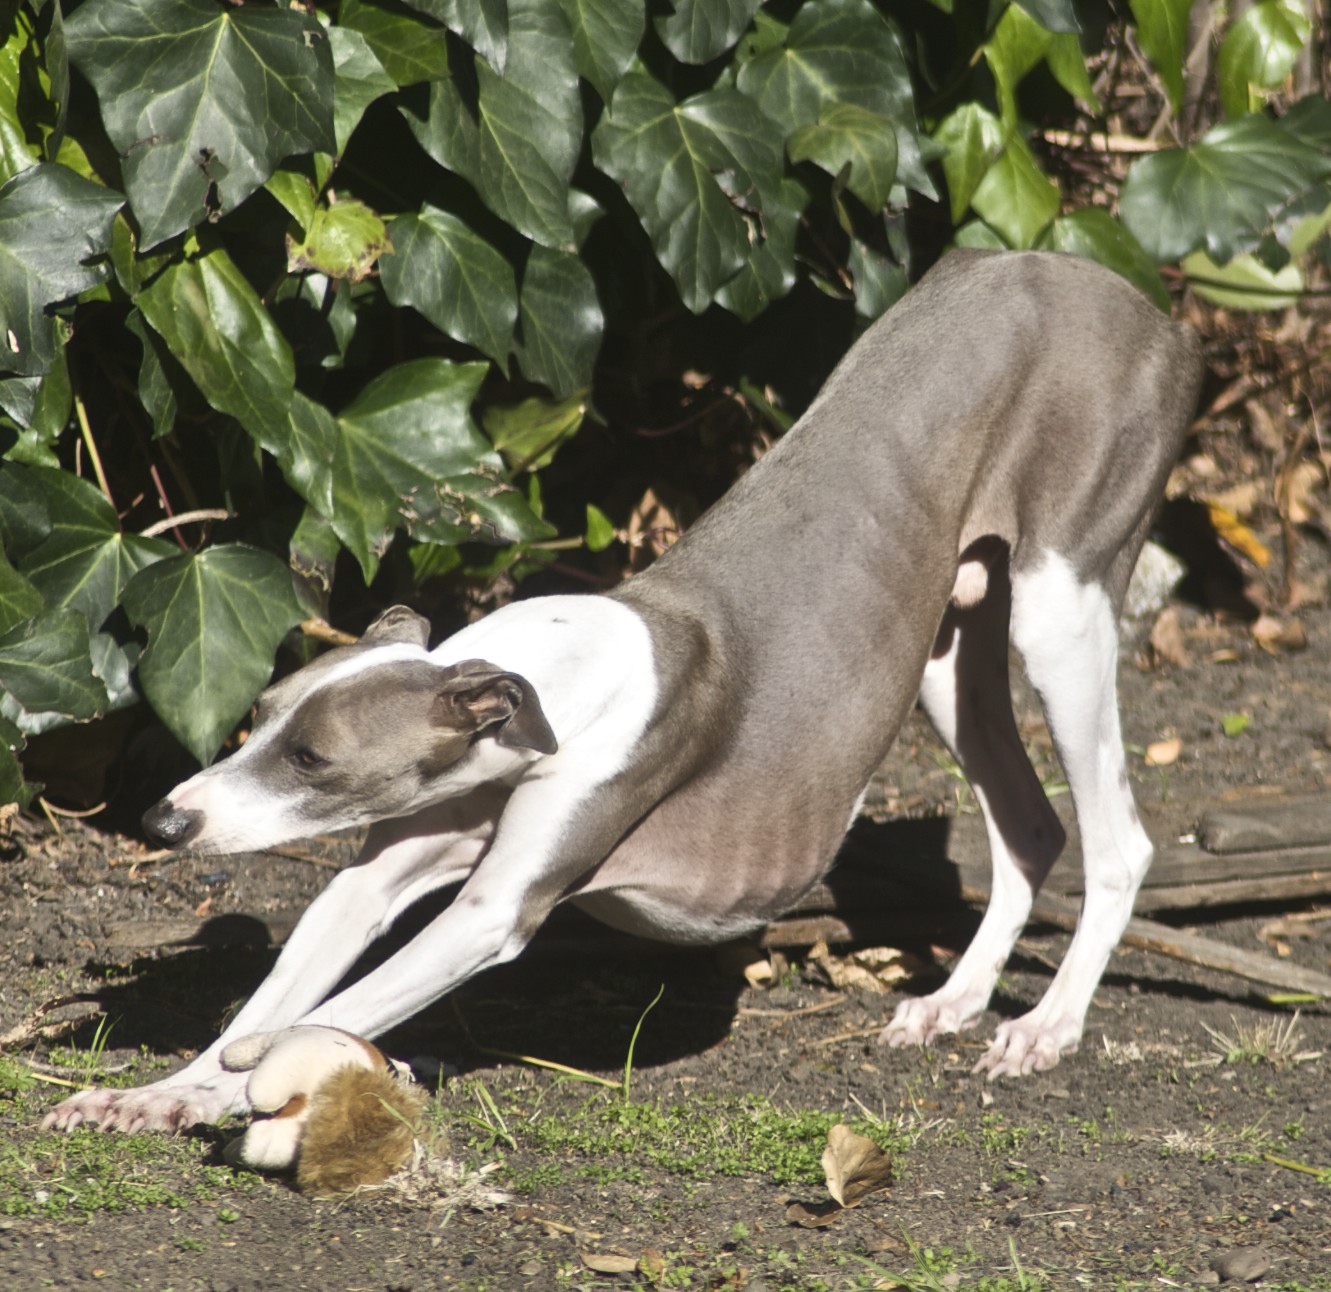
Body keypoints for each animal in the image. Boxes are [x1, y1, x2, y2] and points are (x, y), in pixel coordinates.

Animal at [44, 250, 1208, 1133]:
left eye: (312, 758)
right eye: (255, 720)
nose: (164, 819)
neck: (542, 684)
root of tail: (1127, 293)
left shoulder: (495, 910)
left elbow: (341, 1002)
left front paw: (246, 1066)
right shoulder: (376, 876)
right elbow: (305, 956)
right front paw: (160, 1093)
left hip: (1058, 605)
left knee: (1118, 838)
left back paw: (1046, 1026)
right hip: (940, 649)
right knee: (1027, 826)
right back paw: (953, 1002)